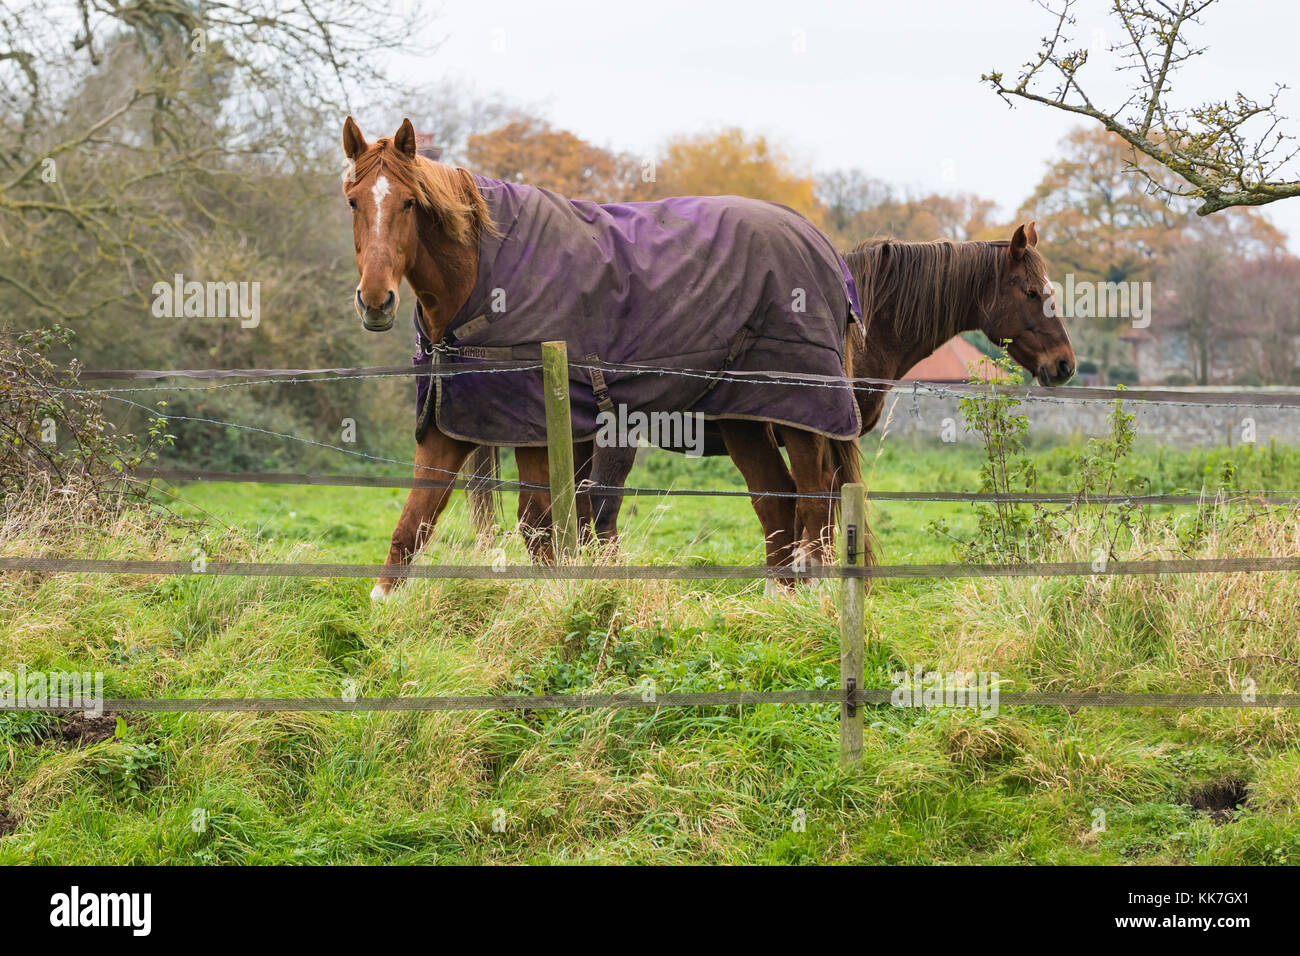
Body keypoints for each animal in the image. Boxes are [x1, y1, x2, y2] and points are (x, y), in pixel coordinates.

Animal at [342, 117, 863, 598]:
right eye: (353, 201)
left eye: (409, 203)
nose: (376, 301)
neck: (478, 277)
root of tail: (820, 242)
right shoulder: (449, 421)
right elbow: (414, 521)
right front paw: (385, 609)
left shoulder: (536, 429)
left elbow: (539, 527)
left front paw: (556, 601)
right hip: (743, 415)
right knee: (776, 499)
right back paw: (779, 600)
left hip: (801, 409)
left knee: (815, 498)